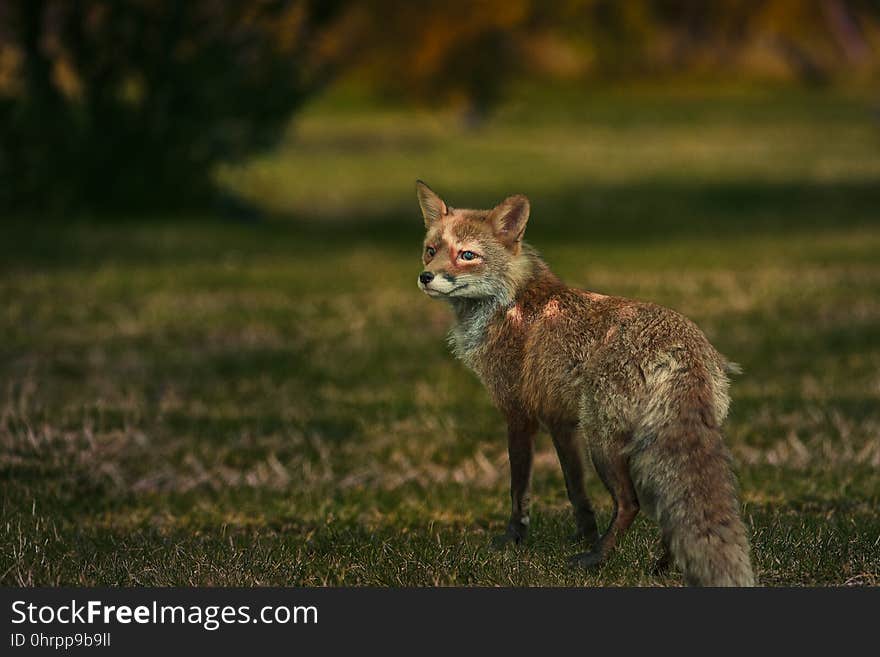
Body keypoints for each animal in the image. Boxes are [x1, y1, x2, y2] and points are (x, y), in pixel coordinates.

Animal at [414, 182, 756, 588]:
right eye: (431, 250)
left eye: (467, 255)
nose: (426, 277)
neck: (509, 301)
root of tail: (684, 346)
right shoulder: (559, 421)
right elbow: (576, 490)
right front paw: (583, 533)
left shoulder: (519, 413)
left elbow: (518, 490)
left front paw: (514, 539)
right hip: (650, 442)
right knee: (674, 504)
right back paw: (660, 566)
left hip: (604, 441)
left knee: (631, 503)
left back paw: (597, 558)